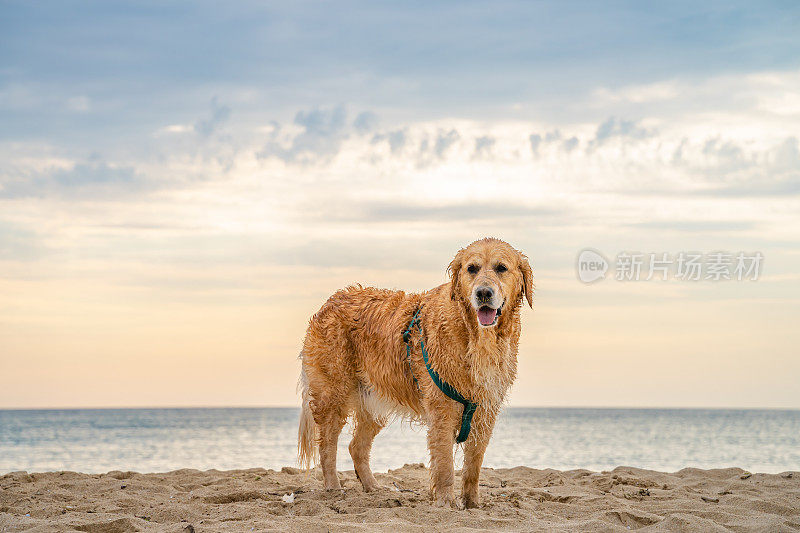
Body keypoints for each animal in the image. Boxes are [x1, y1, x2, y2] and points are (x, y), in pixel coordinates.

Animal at [296, 237, 536, 508]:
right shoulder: (443, 409)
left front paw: (472, 504)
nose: (483, 293)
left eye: (501, 268)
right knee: (327, 444)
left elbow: (473, 466)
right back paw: (333, 488)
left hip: (373, 401)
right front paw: (446, 503)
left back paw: (373, 488)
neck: (477, 337)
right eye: (472, 269)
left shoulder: (484, 410)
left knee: (356, 447)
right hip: (333, 394)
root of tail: (331, 300)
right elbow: (444, 465)